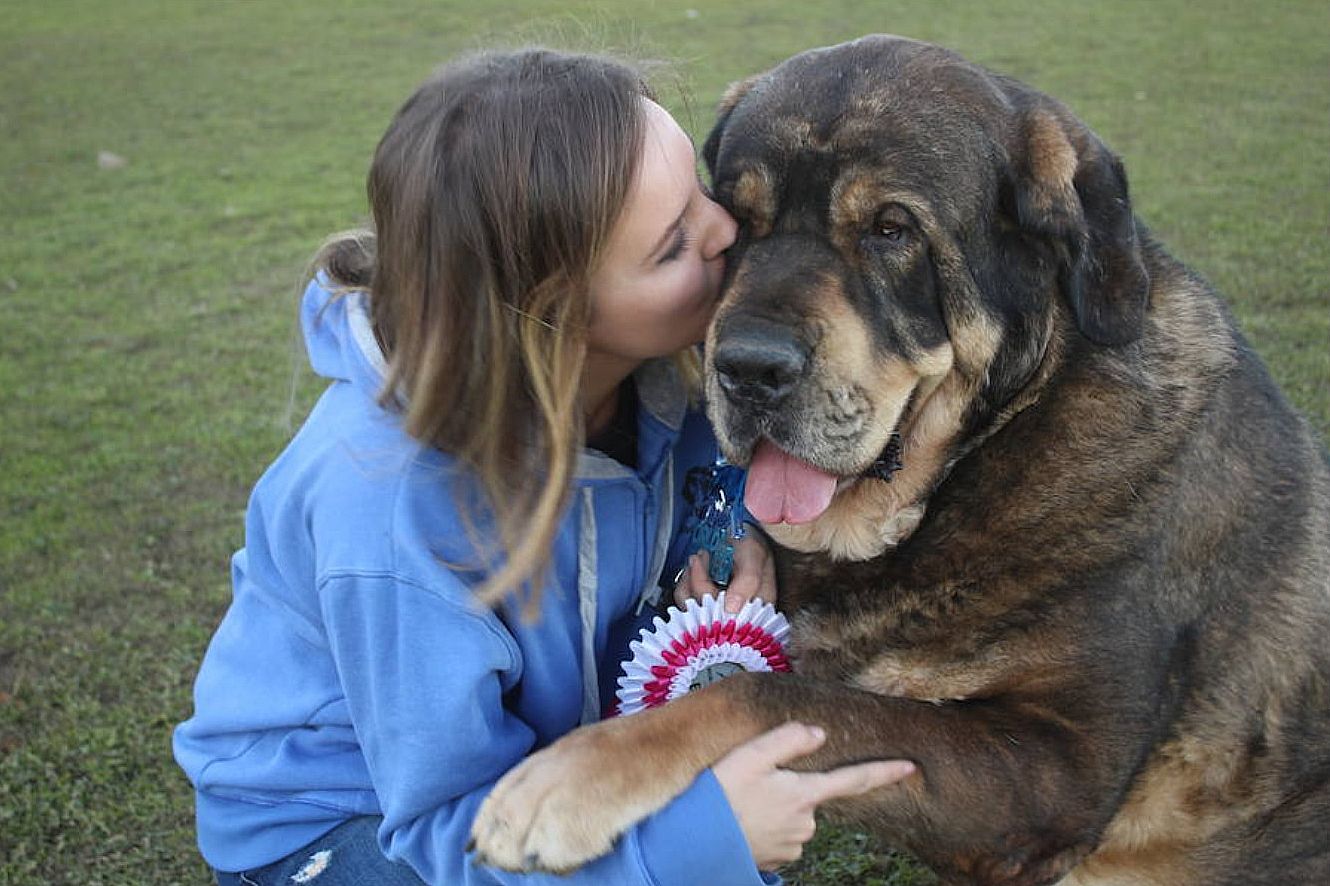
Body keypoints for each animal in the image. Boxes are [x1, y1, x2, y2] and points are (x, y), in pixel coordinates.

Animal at [473, 34, 1324, 883]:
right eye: (735, 223)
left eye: (891, 230)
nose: (748, 368)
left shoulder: (1054, 770)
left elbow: (771, 699)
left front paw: (571, 776)